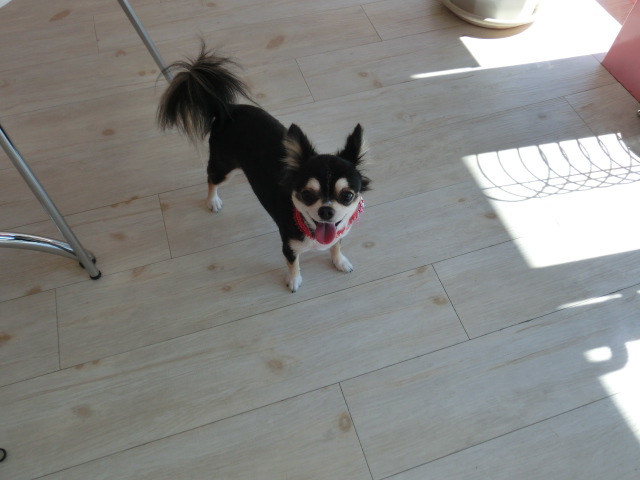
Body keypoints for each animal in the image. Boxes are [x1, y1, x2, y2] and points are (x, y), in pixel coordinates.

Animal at [157, 46, 370, 292]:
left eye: (347, 196)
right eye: (307, 195)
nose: (326, 210)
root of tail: (226, 110)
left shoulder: (336, 233)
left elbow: (336, 245)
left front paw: (340, 261)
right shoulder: (288, 245)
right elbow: (293, 263)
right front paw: (294, 281)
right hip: (224, 166)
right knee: (211, 179)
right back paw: (213, 201)